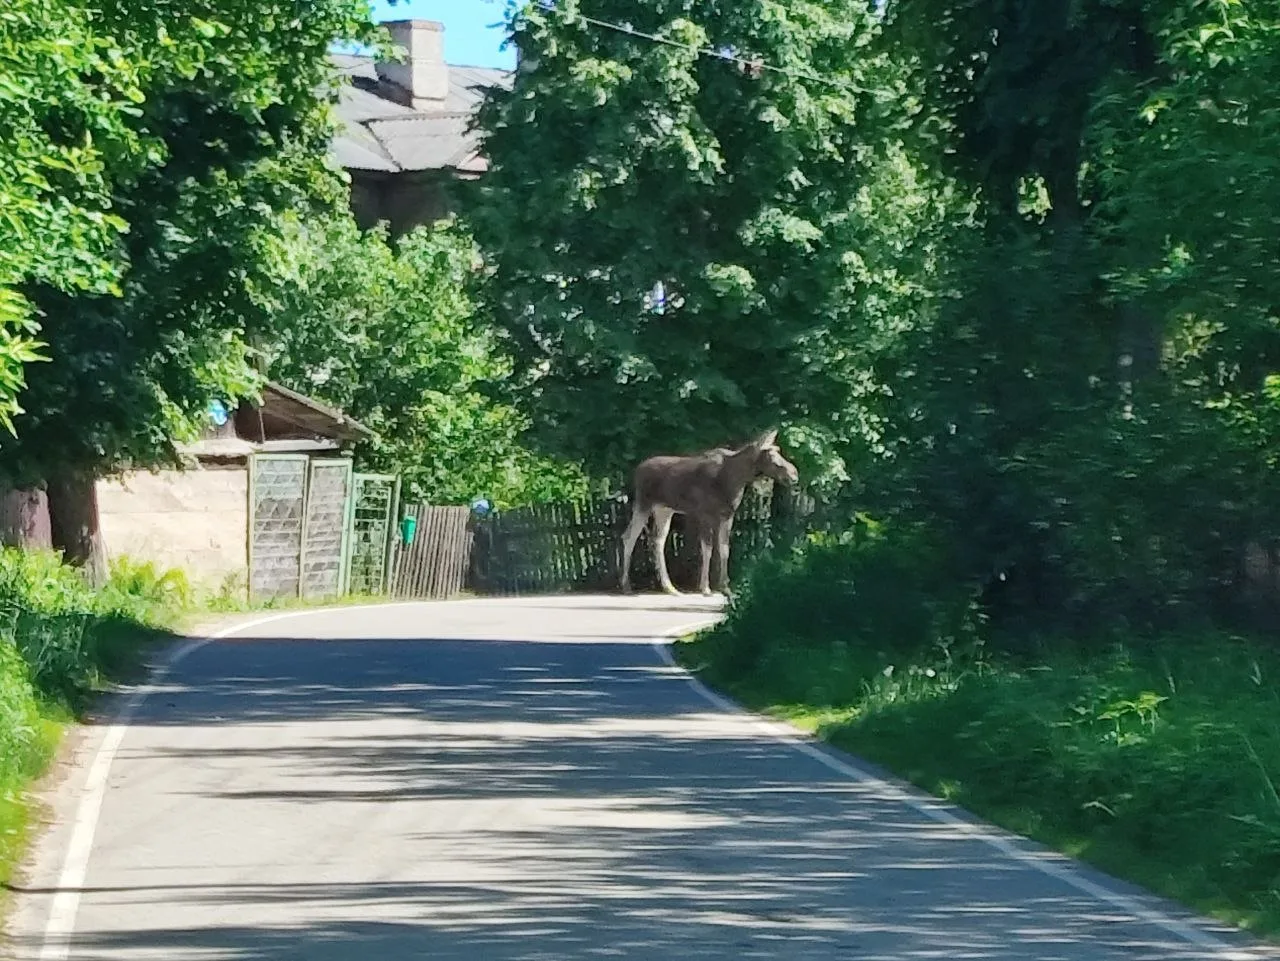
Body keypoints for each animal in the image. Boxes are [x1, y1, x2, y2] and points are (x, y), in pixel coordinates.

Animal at [618, 429, 800, 597]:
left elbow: (724, 549)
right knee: (629, 537)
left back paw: (670, 588)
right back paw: (627, 586)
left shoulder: (727, 516)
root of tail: (637, 471)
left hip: (664, 510)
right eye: (771, 456)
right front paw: (705, 587)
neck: (735, 479)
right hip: (643, 504)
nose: (794, 474)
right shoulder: (705, 515)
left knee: (658, 540)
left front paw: (725, 587)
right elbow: (708, 549)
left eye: (779, 451)